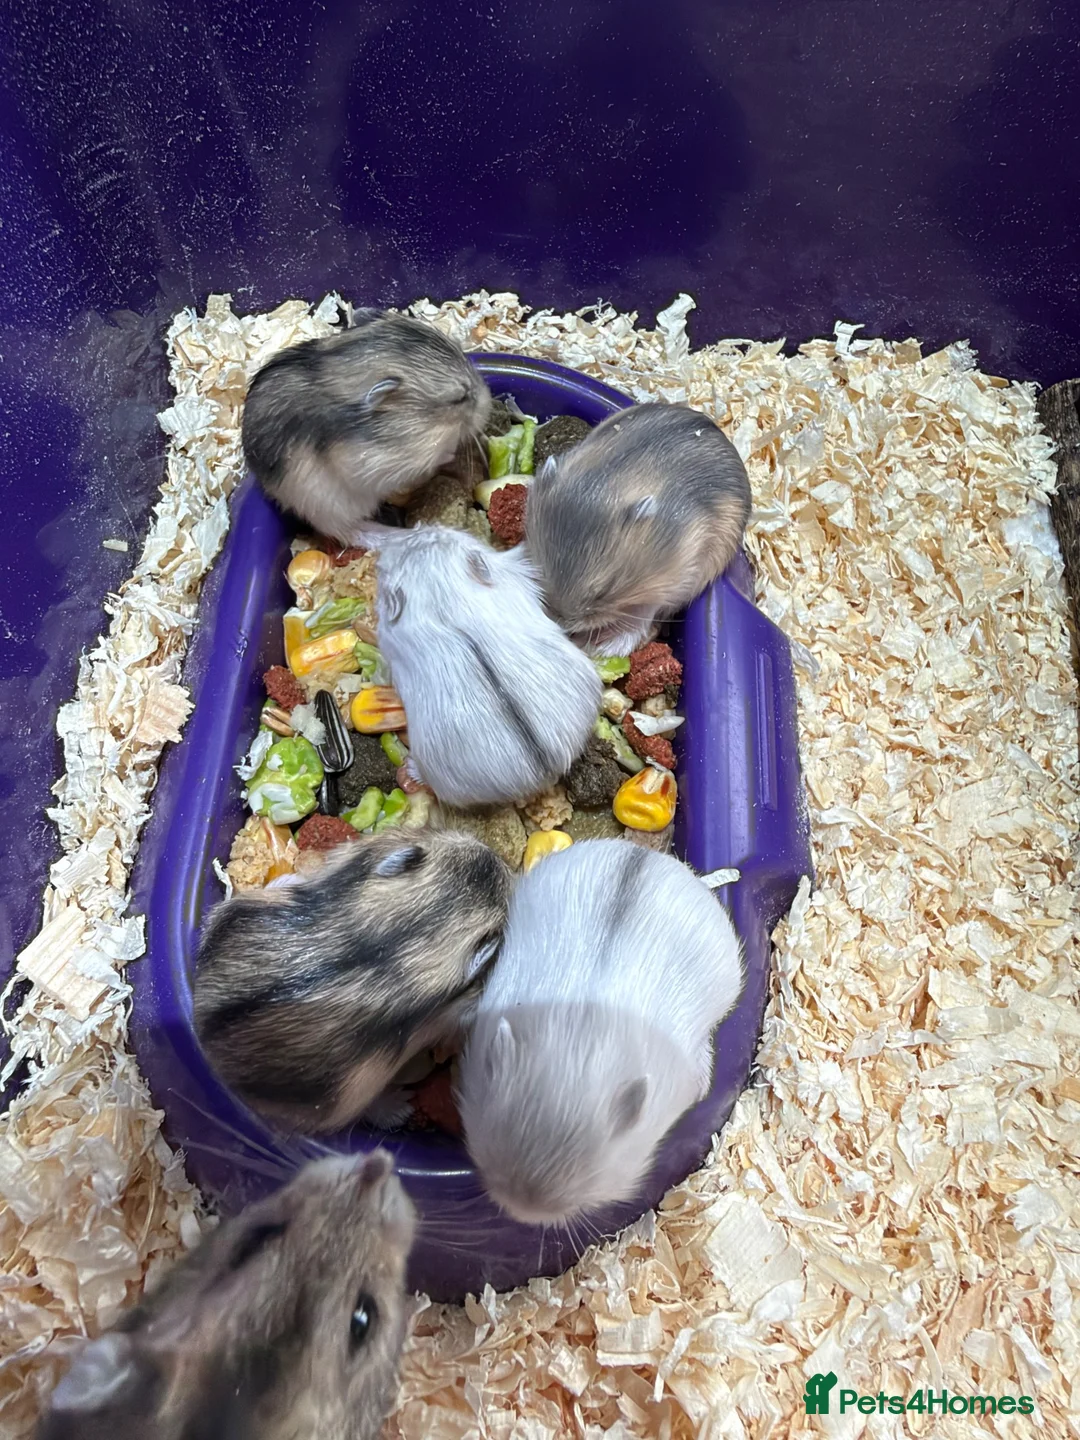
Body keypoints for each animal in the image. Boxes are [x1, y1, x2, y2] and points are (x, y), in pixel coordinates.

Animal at [524, 402, 752, 655]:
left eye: (603, 592)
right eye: (541, 570)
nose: (562, 625)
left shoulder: (677, 576)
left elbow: (643, 612)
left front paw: (598, 645)